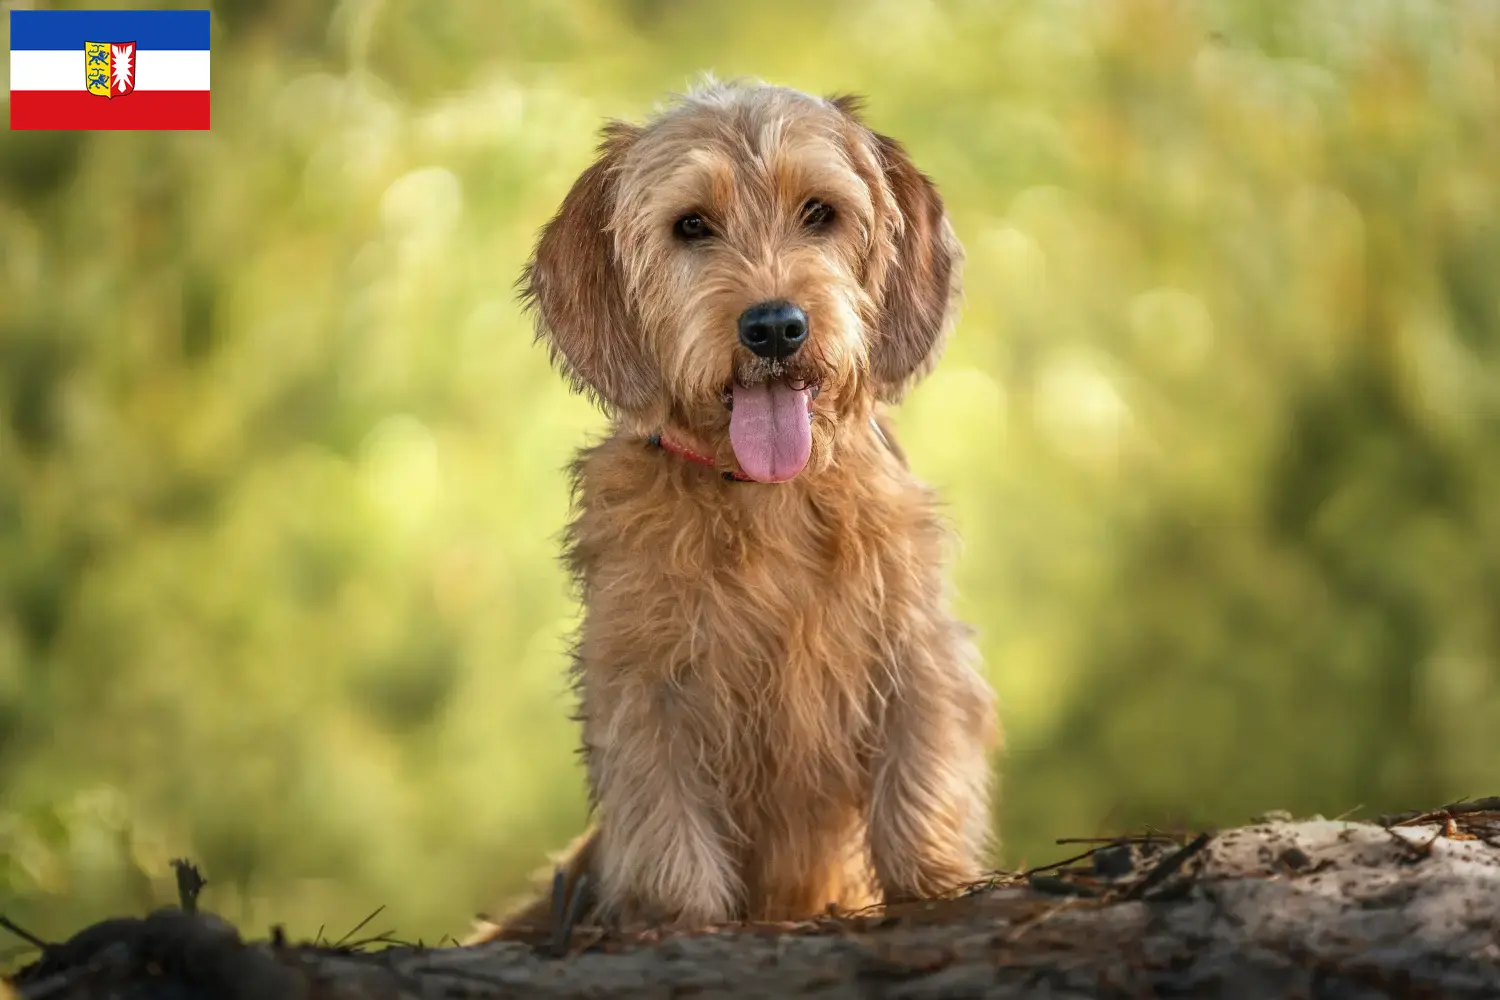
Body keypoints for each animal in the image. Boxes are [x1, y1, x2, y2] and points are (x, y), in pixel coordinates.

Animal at [474, 78, 1002, 941]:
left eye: (819, 211)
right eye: (692, 225)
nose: (775, 327)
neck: (764, 498)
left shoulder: (916, 647)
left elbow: (918, 778)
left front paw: (935, 883)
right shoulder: (643, 685)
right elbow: (666, 824)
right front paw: (677, 917)